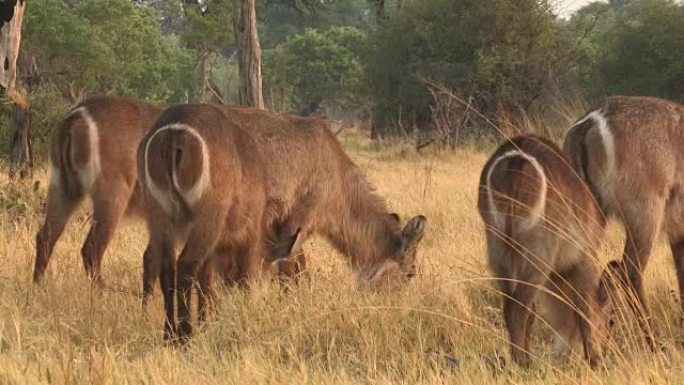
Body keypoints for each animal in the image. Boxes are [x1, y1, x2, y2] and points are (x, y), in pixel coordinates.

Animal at [35, 96, 162, 282]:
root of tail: (77, 114)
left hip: (63, 187)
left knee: (45, 237)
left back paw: (38, 286)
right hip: (113, 195)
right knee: (91, 249)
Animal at [139, 104, 428, 340]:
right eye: (411, 272)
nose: (399, 311)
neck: (336, 173)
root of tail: (173, 128)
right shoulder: (299, 220)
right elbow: (293, 270)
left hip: (160, 218)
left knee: (165, 267)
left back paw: (169, 335)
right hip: (208, 218)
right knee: (186, 265)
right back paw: (185, 337)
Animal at [478, 134, 612, 366]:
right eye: (609, 319)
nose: (606, 350)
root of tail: (516, 159)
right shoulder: (584, 260)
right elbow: (584, 309)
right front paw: (595, 361)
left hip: (498, 252)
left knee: (511, 306)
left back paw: (522, 359)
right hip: (537, 255)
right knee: (518, 309)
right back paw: (522, 364)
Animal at [564, 94, 684, 346]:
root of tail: (591, 120)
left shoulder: (678, 236)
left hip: (592, 215)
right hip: (645, 213)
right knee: (629, 272)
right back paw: (654, 344)